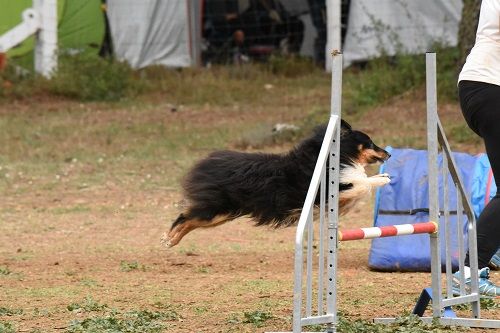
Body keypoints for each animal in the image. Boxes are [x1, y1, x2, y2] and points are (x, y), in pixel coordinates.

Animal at [164, 119, 390, 246]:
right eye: (370, 142)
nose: (388, 154)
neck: (339, 154)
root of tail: (210, 162)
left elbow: (362, 181)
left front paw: (383, 177)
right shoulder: (333, 190)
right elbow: (361, 183)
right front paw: (381, 179)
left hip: (223, 215)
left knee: (189, 220)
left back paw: (172, 241)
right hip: (217, 210)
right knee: (184, 217)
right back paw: (168, 238)